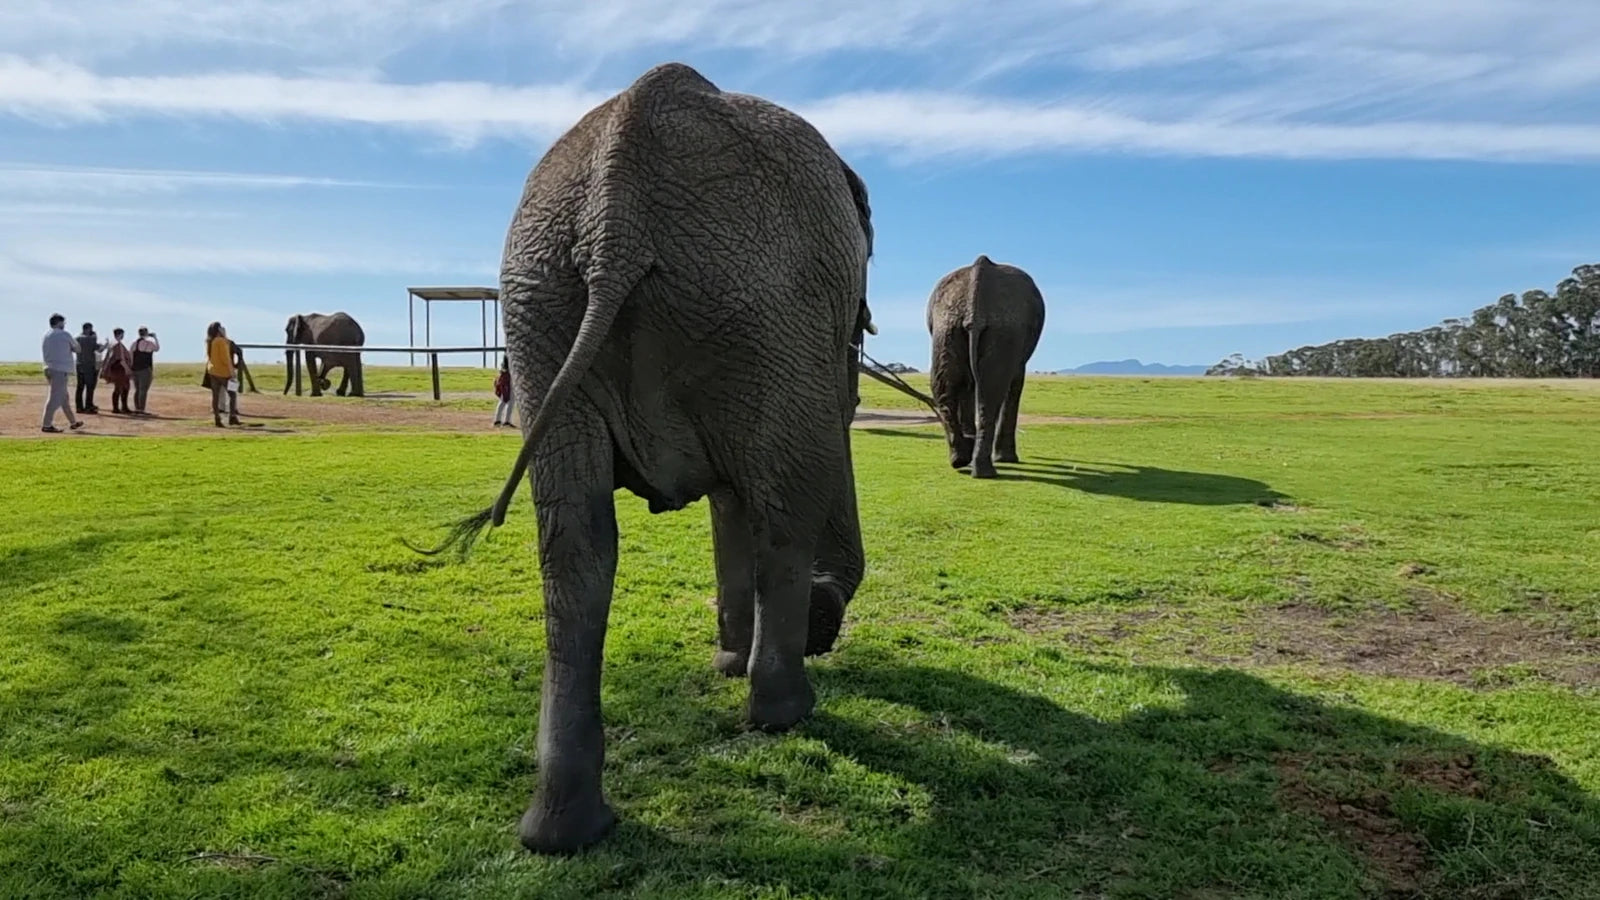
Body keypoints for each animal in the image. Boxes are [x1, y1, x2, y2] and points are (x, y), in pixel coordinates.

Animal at [406, 62, 875, 854]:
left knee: (574, 545)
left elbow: (728, 500)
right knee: (786, 515)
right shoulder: (805, 338)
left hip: (546, 306)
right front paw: (746, 667)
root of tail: (613, 214)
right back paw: (784, 712)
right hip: (756, 308)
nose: (828, 619)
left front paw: (726, 664)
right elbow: (767, 489)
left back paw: (563, 831)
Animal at [926, 255, 1046, 478]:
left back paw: (961, 459)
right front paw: (1007, 459)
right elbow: (1015, 380)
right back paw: (984, 470)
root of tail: (979, 268)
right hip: (1005, 329)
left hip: (947, 325)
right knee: (991, 389)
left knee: (945, 384)